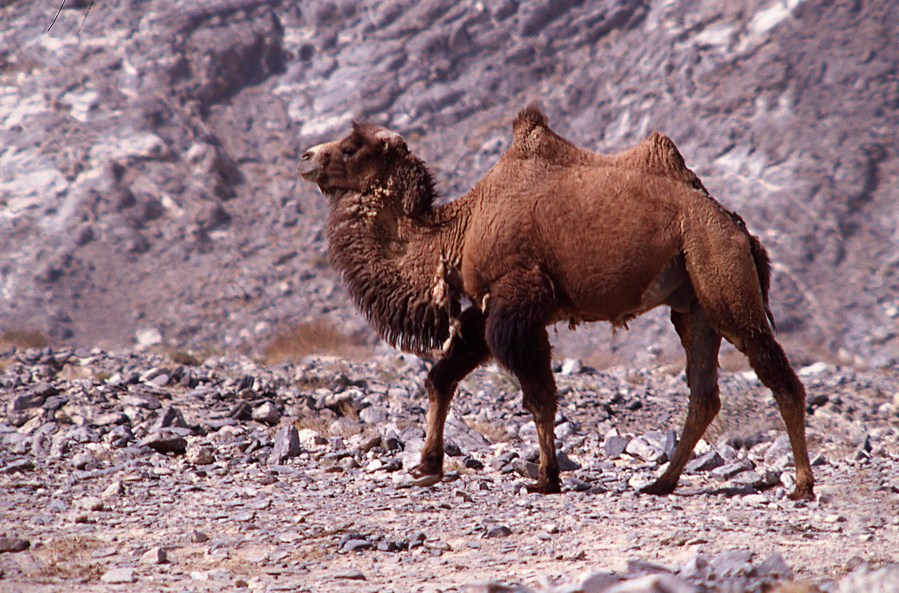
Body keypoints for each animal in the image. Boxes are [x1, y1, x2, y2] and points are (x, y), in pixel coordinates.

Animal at [299, 106, 815, 501]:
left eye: (350, 147)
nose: (305, 156)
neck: (455, 232)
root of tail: (737, 225)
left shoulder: (517, 299)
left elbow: (538, 393)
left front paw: (545, 478)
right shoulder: (487, 307)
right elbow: (441, 377)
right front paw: (426, 465)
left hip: (719, 270)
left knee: (775, 373)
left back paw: (801, 485)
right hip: (692, 304)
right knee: (704, 392)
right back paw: (660, 482)